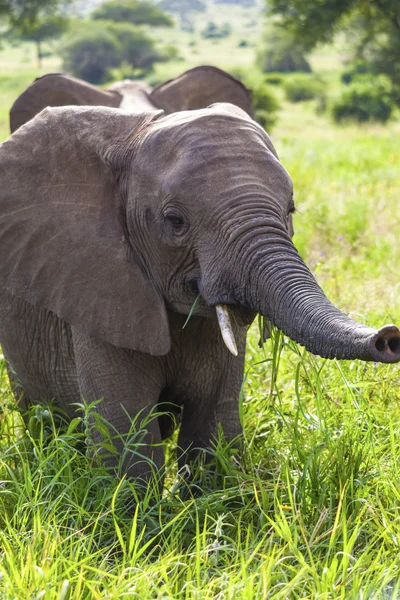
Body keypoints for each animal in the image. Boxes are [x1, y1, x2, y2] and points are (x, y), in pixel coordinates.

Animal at [0, 99, 398, 482]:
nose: (388, 338)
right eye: (175, 221)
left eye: (290, 210)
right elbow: (126, 439)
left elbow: (213, 427)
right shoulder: (100, 290)